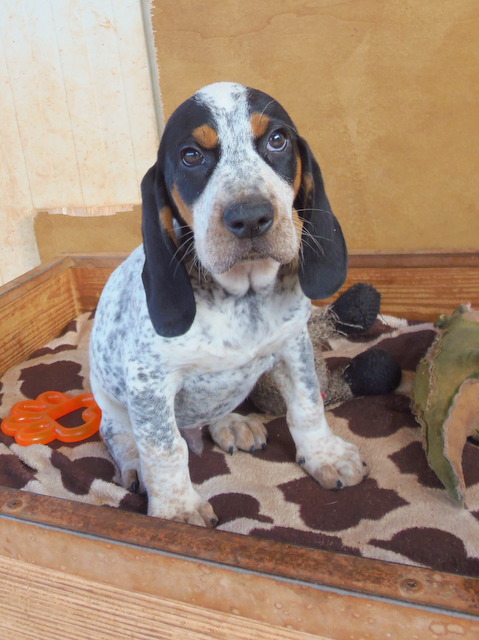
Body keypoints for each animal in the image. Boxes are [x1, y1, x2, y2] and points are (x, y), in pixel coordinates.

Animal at [90, 82, 367, 527]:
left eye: (277, 140)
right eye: (191, 155)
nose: (251, 217)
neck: (243, 297)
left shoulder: (293, 346)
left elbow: (308, 406)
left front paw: (324, 455)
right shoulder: (149, 383)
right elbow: (164, 449)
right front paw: (177, 509)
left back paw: (233, 423)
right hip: (112, 403)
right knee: (121, 435)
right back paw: (133, 465)